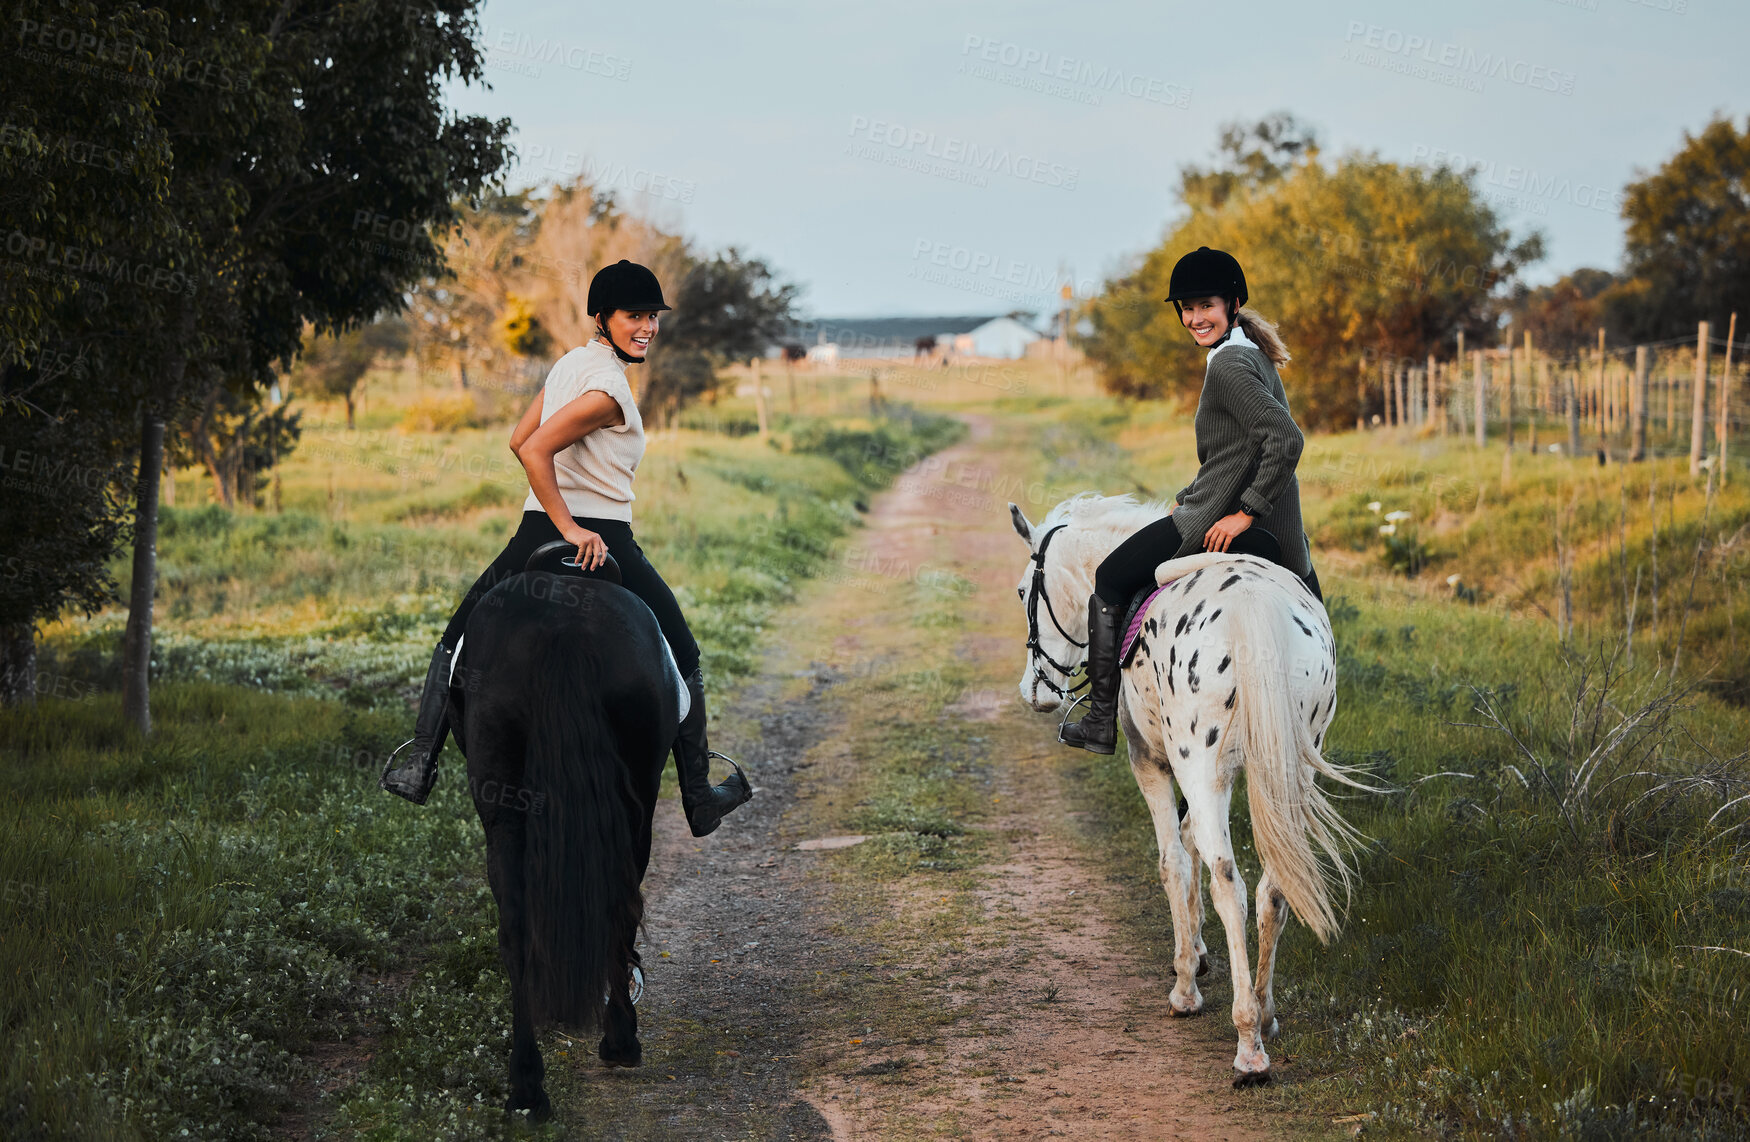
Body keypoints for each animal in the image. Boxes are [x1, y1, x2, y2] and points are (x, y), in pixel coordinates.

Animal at [444, 538, 696, 1119]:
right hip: (632, 804)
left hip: (506, 807)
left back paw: (528, 1087)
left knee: (518, 925)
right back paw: (612, 1042)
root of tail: (563, 620)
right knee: (611, 904)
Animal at [1015, 493, 1365, 1084]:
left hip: (1197, 762)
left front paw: (1185, 982)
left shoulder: (1153, 761)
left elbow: (1173, 860)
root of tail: (1251, 600)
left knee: (1232, 883)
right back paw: (1265, 1013)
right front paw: (1199, 950)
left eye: (1023, 594)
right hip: (1287, 767)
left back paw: (1248, 1044)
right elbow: (1191, 843)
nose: (1033, 692)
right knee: (1273, 885)